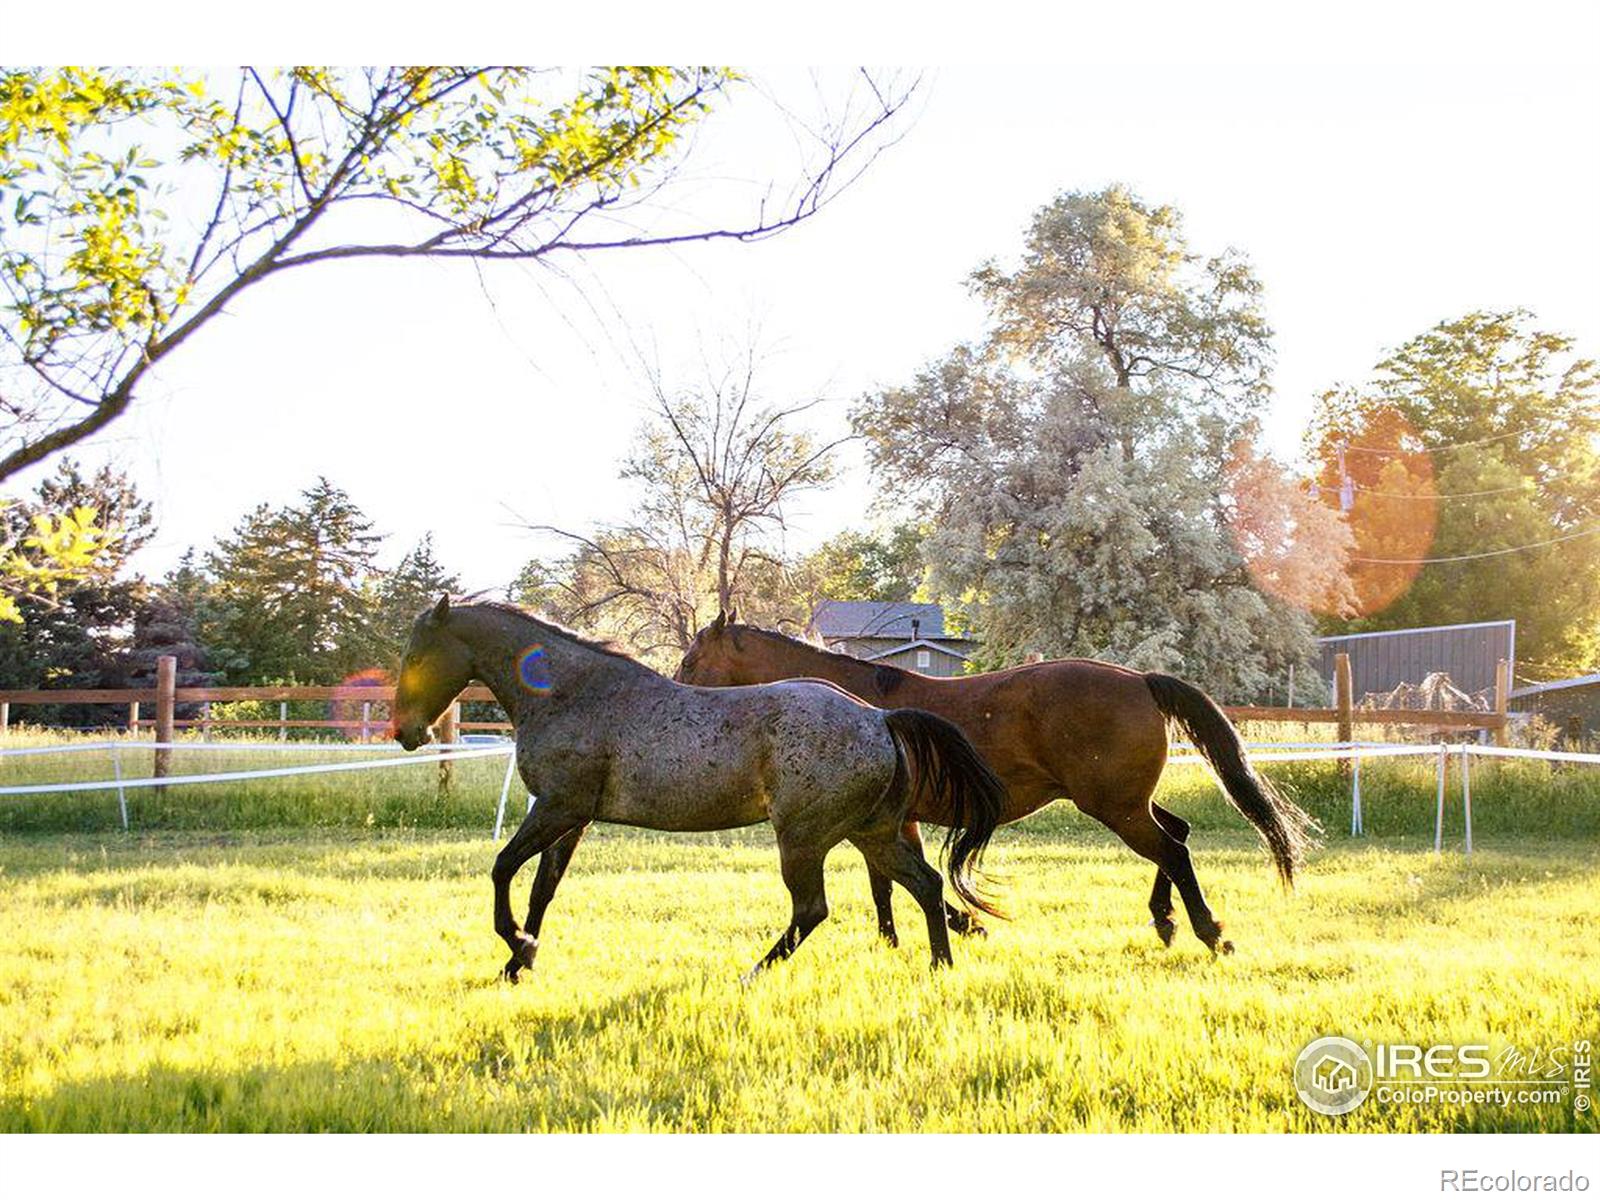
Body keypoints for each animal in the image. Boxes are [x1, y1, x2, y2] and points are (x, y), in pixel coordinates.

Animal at [675, 611, 1312, 960]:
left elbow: (898, 881)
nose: (677, 691)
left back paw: (1209, 932)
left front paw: (959, 924)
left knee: (1173, 850)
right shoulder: (891, 820)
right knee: (1176, 835)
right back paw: (1166, 921)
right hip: (1129, 802)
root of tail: (1139, 680)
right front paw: (912, 936)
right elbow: (889, 884)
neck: (857, 706)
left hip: (1115, 807)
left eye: (691, 660)